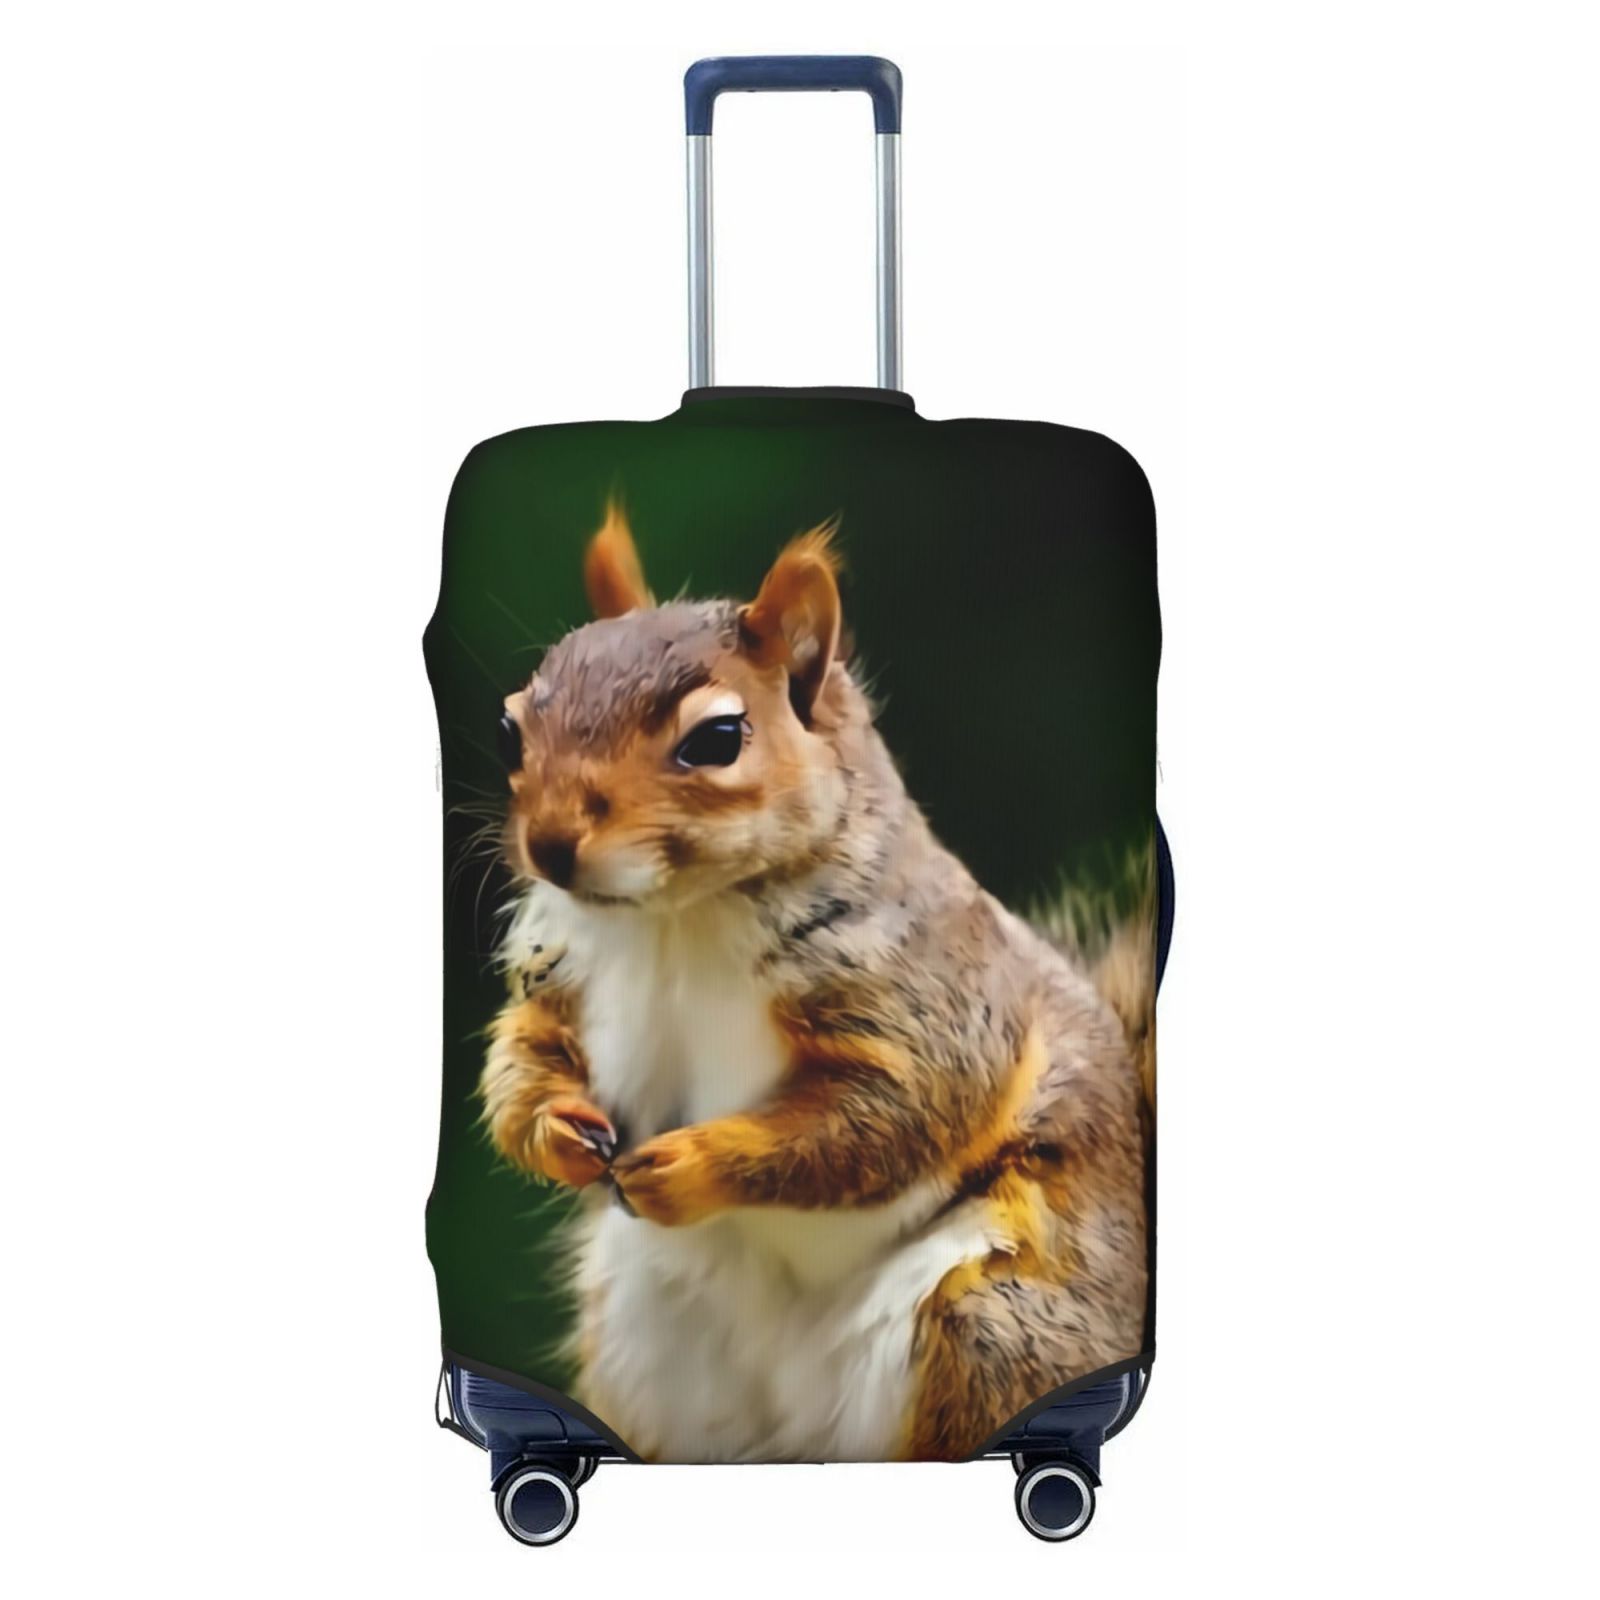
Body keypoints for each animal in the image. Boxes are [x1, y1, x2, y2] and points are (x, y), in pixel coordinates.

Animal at [478, 502, 1152, 1463]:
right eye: (510, 728)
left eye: (717, 739)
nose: (551, 845)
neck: (674, 921)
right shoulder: (562, 976)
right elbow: (522, 1056)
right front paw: (555, 1128)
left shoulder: (932, 999)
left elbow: (886, 1116)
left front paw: (689, 1164)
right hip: (652, 1337)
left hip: (991, 1323)